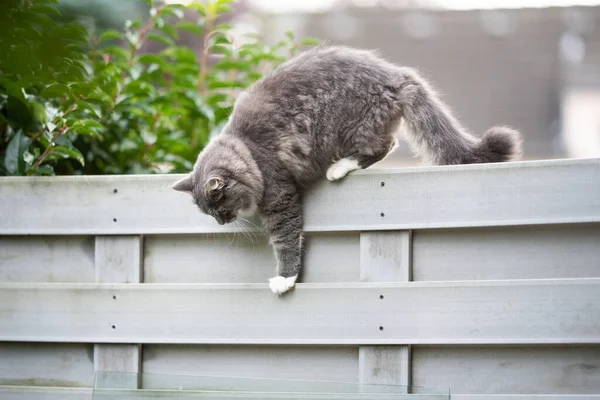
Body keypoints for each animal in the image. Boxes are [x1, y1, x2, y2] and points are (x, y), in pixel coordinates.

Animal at [172, 45, 520, 296]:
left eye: (220, 209)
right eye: (210, 214)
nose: (221, 222)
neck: (248, 149)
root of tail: (396, 75)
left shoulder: (281, 199)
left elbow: (286, 241)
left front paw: (285, 279)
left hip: (351, 130)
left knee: (382, 146)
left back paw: (338, 169)